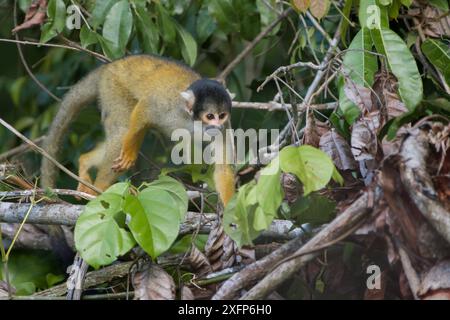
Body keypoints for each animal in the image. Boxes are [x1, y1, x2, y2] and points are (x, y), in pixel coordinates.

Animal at [41, 54, 236, 205]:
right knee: (123, 130)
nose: (216, 126)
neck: (193, 121)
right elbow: (145, 107)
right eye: (210, 116)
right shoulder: (169, 106)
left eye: (222, 115)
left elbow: (223, 168)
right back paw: (100, 190)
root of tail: (110, 65)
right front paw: (128, 151)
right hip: (112, 86)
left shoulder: (225, 127)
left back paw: (85, 162)